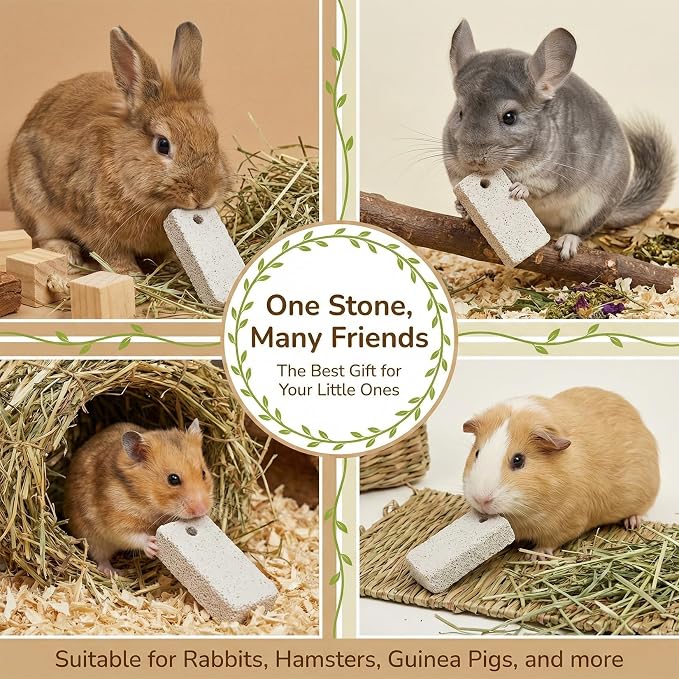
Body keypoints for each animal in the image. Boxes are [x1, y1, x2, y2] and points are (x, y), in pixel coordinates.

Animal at [8, 22, 232, 275]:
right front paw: (131, 275)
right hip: (33, 202)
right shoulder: (97, 230)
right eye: (163, 145)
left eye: (215, 137)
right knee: (41, 237)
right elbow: (113, 255)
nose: (205, 194)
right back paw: (67, 253)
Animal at [63, 419, 214, 575]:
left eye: (203, 473)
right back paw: (113, 572)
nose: (202, 510)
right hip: (92, 539)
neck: (148, 502)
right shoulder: (117, 520)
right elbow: (133, 536)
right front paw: (153, 546)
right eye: (173, 479)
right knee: (100, 558)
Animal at [443, 20, 675, 260]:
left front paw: (519, 189)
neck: (512, 166)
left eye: (509, 117)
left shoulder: (551, 176)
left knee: (580, 231)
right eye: (460, 113)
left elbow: (536, 187)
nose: (473, 160)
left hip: (594, 207)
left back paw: (567, 244)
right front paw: (461, 207)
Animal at [462, 388, 659, 558]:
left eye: (518, 460)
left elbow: (551, 540)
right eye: (477, 453)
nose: (481, 500)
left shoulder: (568, 521)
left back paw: (632, 523)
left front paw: (536, 557)